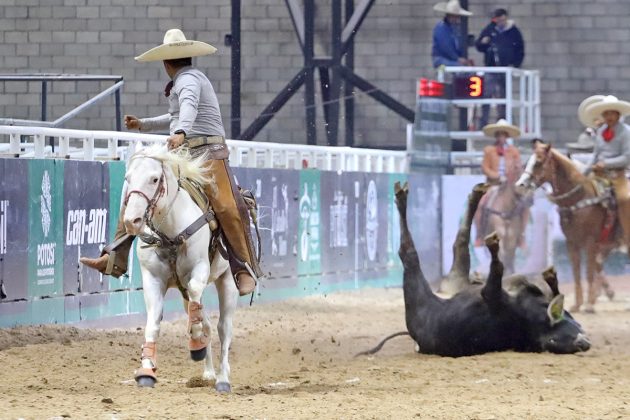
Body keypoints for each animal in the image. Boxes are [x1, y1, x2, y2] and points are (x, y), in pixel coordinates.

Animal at [123, 146, 239, 392]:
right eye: (128, 178)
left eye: (154, 179)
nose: (132, 221)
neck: (170, 231)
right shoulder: (152, 279)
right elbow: (153, 324)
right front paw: (146, 370)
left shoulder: (200, 269)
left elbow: (198, 308)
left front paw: (196, 343)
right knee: (206, 320)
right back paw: (208, 373)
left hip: (228, 281)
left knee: (224, 328)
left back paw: (223, 378)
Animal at [516, 144, 624, 312]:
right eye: (528, 161)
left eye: (538, 162)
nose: (520, 184)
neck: (580, 197)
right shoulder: (572, 242)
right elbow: (576, 272)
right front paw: (578, 304)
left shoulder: (591, 242)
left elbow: (588, 272)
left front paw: (588, 305)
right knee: (600, 264)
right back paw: (606, 292)